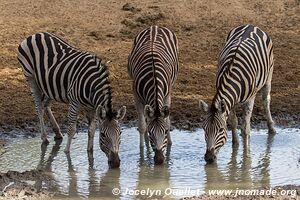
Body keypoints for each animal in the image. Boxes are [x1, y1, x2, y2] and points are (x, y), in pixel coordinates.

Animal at [16, 32, 125, 168]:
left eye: (120, 133)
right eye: (103, 135)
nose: (115, 163)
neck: (91, 85)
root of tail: (35, 34)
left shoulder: (93, 107)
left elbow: (91, 129)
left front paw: (90, 152)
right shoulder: (74, 102)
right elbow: (72, 129)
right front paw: (66, 152)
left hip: (49, 84)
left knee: (45, 105)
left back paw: (57, 133)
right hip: (31, 78)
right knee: (39, 107)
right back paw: (44, 138)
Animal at [128, 25, 179, 165]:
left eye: (165, 132)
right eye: (151, 133)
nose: (160, 160)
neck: (154, 77)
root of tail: (155, 26)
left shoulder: (167, 94)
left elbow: (167, 121)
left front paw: (170, 145)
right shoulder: (136, 96)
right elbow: (142, 125)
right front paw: (142, 154)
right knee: (145, 118)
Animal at [199, 24, 276, 162]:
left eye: (220, 130)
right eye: (204, 129)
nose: (209, 158)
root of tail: (251, 25)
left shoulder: (250, 99)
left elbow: (245, 128)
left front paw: (246, 154)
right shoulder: (230, 102)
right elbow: (234, 121)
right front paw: (235, 145)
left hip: (268, 76)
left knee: (266, 100)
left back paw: (271, 128)